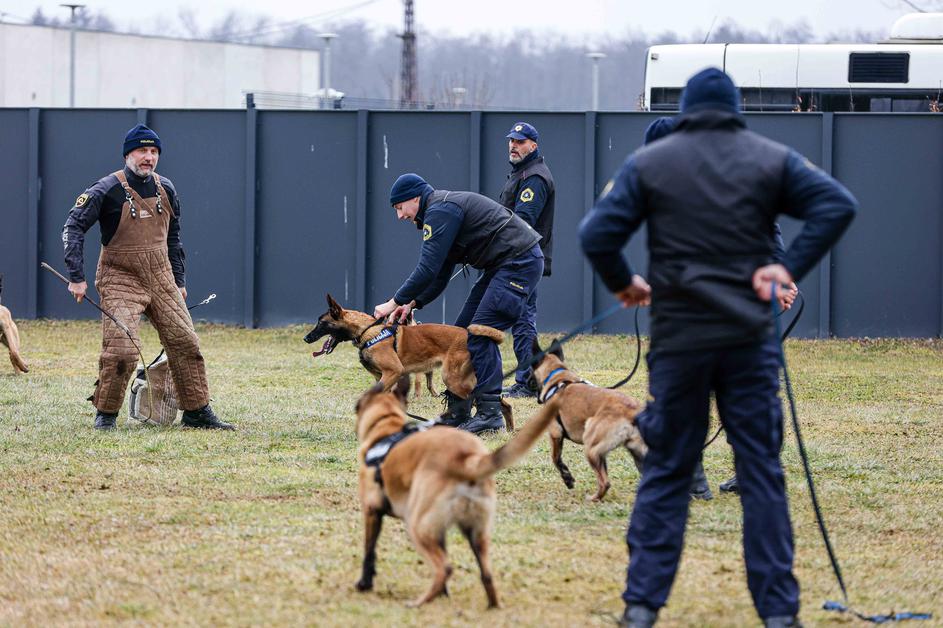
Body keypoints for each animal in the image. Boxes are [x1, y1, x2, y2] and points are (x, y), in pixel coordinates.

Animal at [306, 294, 512, 430]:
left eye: (321, 323)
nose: (306, 338)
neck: (368, 331)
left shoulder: (393, 372)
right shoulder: (383, 378)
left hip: (454, 379)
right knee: (501, 402)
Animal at [352, 376, 560, 604]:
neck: (387, 426)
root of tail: (464, 461)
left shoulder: (372, 511)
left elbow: (369, 552)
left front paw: (364, 583)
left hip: (417, 525)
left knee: (444, 567)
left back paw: (420, 602)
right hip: (476, 533)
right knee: (486, 574)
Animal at [532, 336, 648, 502]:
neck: (558, 378)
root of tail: (632, 411)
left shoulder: (555, 433)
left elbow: (555, 459)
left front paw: (567, 479)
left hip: (591, 447)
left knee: (605, 482)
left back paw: (593, 498)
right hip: (637, 453)